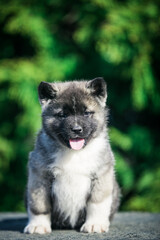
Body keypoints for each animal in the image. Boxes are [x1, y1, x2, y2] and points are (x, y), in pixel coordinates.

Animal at [24, 78, 120, 233]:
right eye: (62, 115)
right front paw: (38, 225)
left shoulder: (101, 175)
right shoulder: (40, 177)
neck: (75, 153)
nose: (76, 129)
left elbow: (97, 203)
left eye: (86, 113)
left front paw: (95, 223)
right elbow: (39, 206)